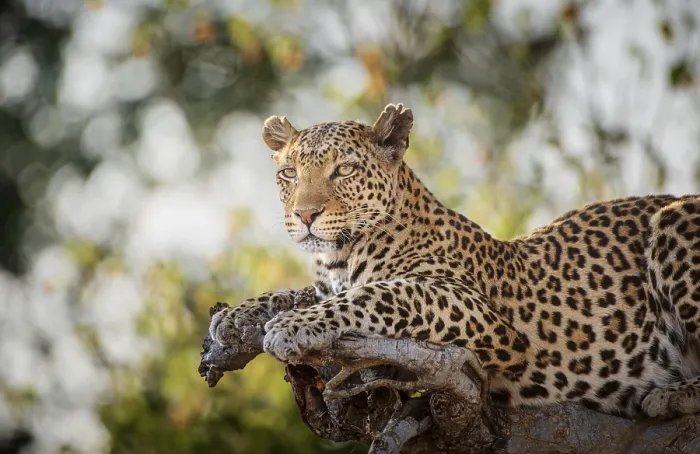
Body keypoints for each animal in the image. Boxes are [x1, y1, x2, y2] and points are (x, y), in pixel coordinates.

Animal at [209, 103, 700, 420]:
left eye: (344, 170)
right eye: (289, 173)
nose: (305, 215)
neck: (339, 257)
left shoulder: (482, 315)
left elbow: (381, 294)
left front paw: (292, 327)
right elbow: (293, 293)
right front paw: (235, 317)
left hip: (676, 220)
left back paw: (669, 396)